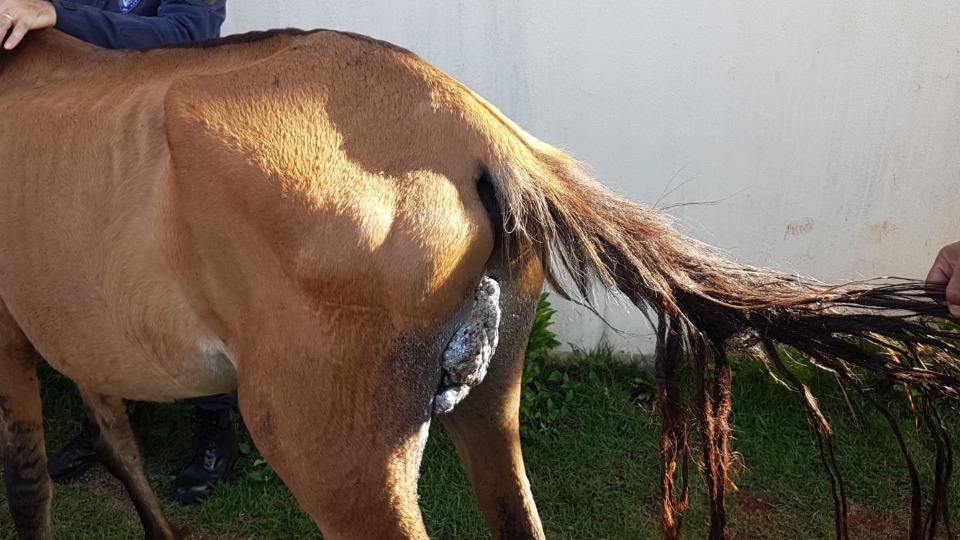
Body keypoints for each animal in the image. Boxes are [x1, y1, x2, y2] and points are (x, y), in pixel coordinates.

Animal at [1, 29, 960, 540]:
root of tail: (476, 131)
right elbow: (115, 441)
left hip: (337, 453)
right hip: (488, 400)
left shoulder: (10, 340)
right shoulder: (71, 336)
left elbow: (32, 476)